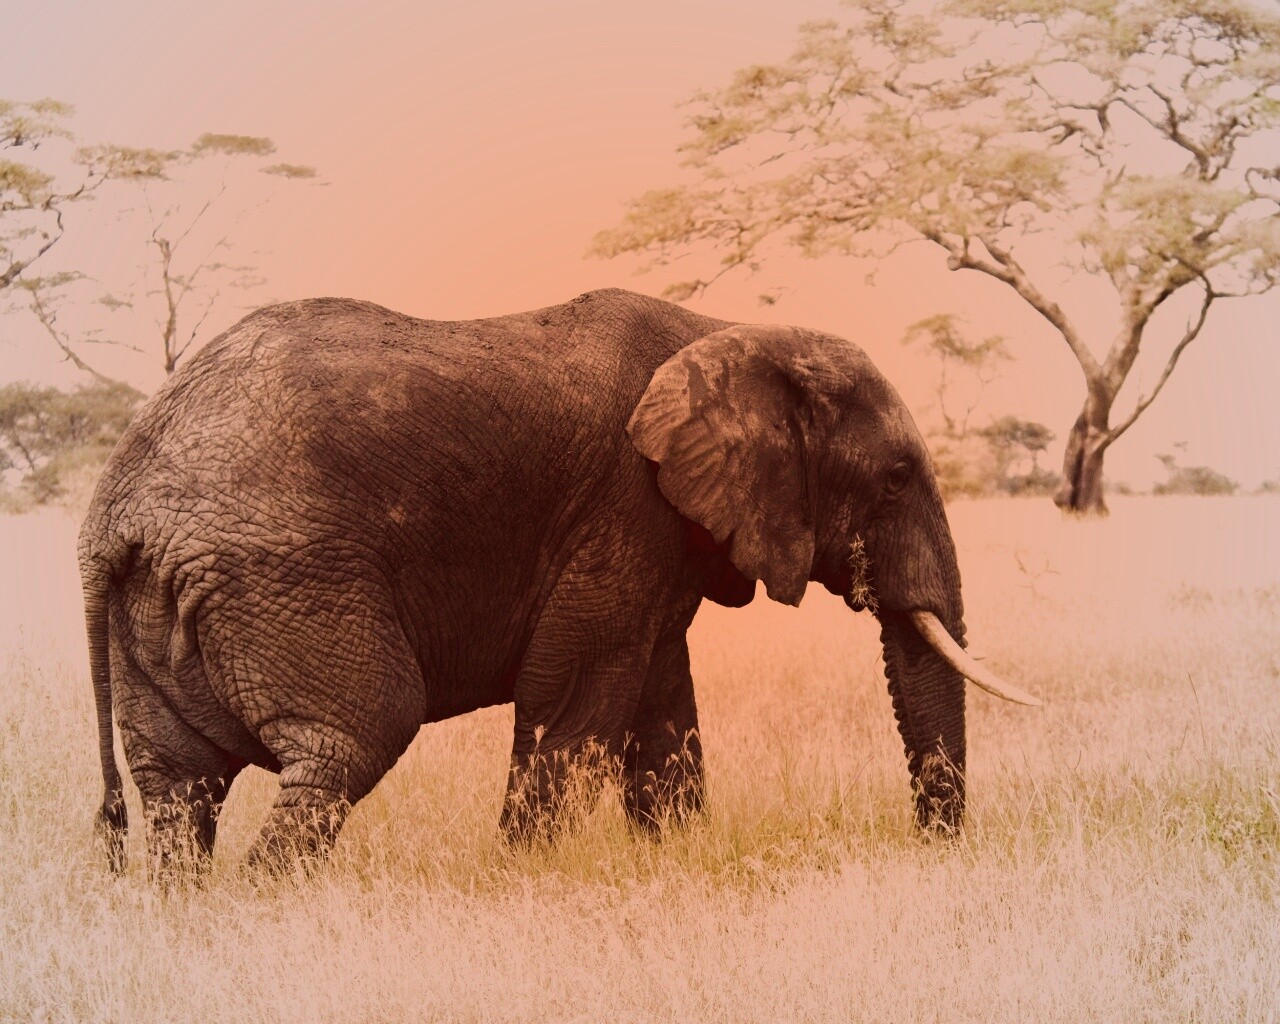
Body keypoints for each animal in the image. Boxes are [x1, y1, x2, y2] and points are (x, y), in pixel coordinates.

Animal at [80, 287, 1037, 872]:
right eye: (897, 478)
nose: (931, 849)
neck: (728, 330)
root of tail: (114, 508)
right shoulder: (623, 503)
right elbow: (574, 693)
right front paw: (524, 877)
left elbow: (660, 702)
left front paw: (672, 860)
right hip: (283, 574)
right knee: (351, 737)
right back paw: (268, 904)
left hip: (164, 602)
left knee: (179, 786)